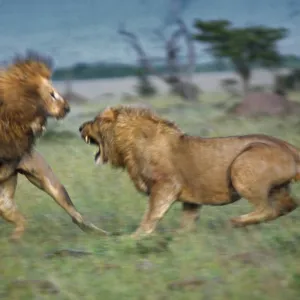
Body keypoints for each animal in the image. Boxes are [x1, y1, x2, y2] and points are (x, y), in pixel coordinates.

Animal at [0, 51, 105, 239]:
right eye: (52, 94)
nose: (67, 108)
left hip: (49, 182)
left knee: (75, 215)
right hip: (5, 199)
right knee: (20, 219)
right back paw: (16, 239)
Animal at [79, 105, 300, 237]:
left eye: (95, 120)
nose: (80, 127)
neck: (127, 145)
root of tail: (288, 146)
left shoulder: (166, 185)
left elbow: (151, 215)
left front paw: (134, 238)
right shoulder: (192, 200)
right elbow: (187, 221)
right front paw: (179, 239)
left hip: (242, 166)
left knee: (267, 208)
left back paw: (236, 222)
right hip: (278, 187)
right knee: (288, 205)